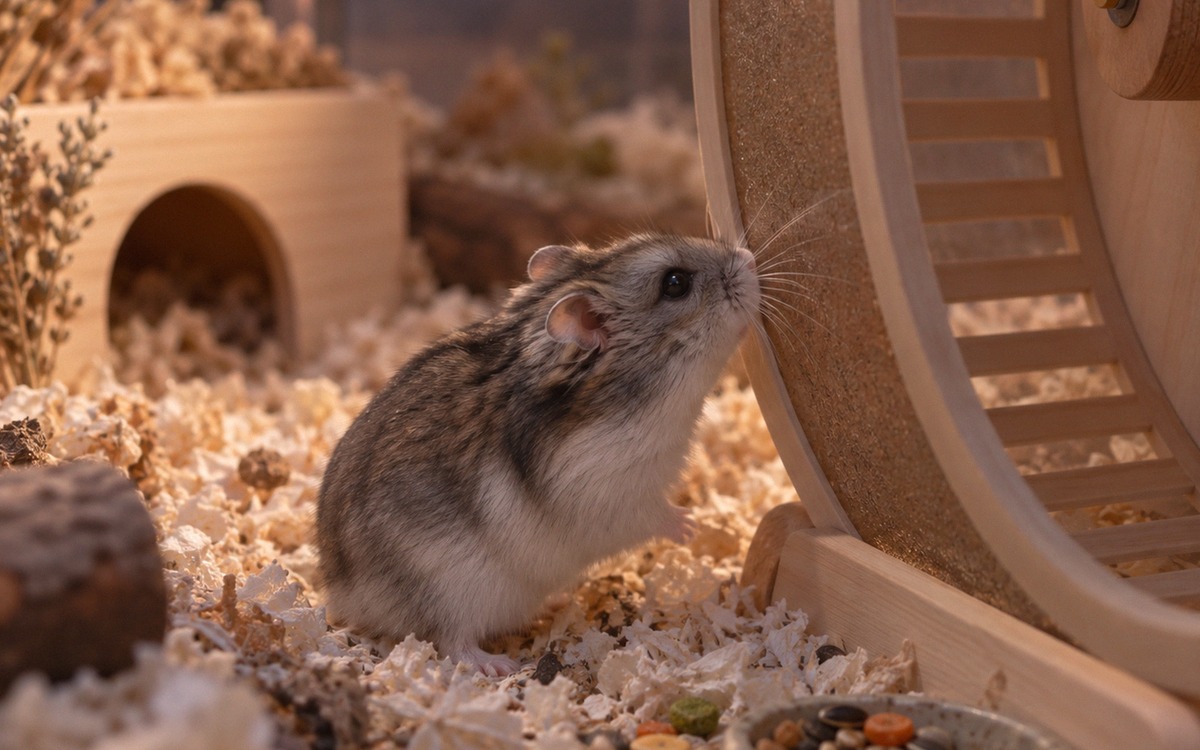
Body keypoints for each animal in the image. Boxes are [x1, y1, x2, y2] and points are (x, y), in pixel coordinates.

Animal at [315, 233, 761, 676]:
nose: (749, 259)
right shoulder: (612, 492)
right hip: (449, 588)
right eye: (675, 284)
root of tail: (341, 596)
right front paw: (694, 526)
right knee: (450, 640)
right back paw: (497, 665)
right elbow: (655, 515)